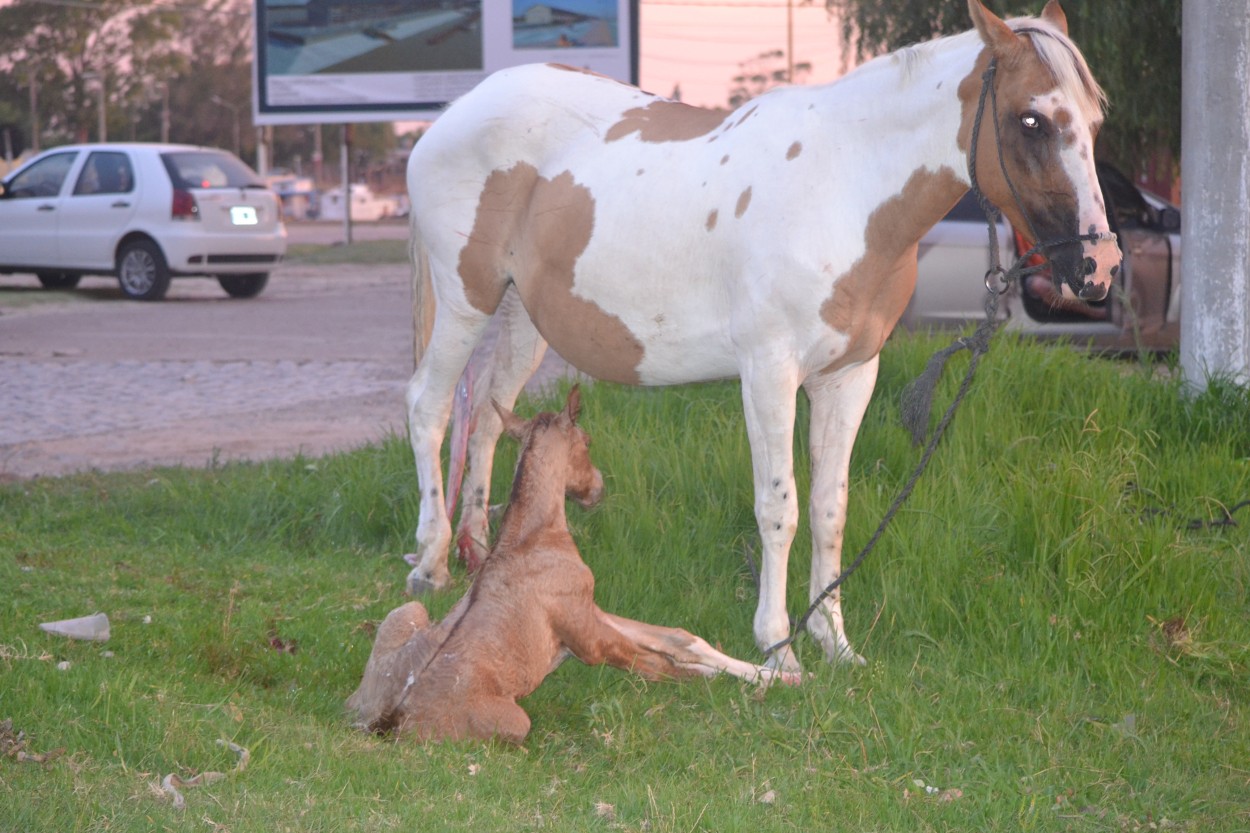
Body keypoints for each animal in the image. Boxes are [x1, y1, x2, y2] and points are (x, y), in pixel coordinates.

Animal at [347, 385, 795, 740]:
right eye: (589, 440)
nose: (597, 488)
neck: (529, 537)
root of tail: (387, 719)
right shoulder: (591, 641)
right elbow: (668, 667)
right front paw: (763, 683)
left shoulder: (589, 610)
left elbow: (679, 640)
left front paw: (781, 674)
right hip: (514, 722)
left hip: (408, 612)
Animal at [402, 0, 1125, 670]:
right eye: (1031, 119)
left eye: (1095, 122)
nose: (1100, 267)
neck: (843, 186)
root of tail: (450, 116)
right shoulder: (770, 373)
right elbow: (781, 508)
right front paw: (778, 648)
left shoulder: (849, 376)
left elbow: (831, 508)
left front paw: (834, 641)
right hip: (466, 300)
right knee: (429, 407)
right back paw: (431, 561)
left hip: (523, 316)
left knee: (491, 414)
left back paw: (478, 548)